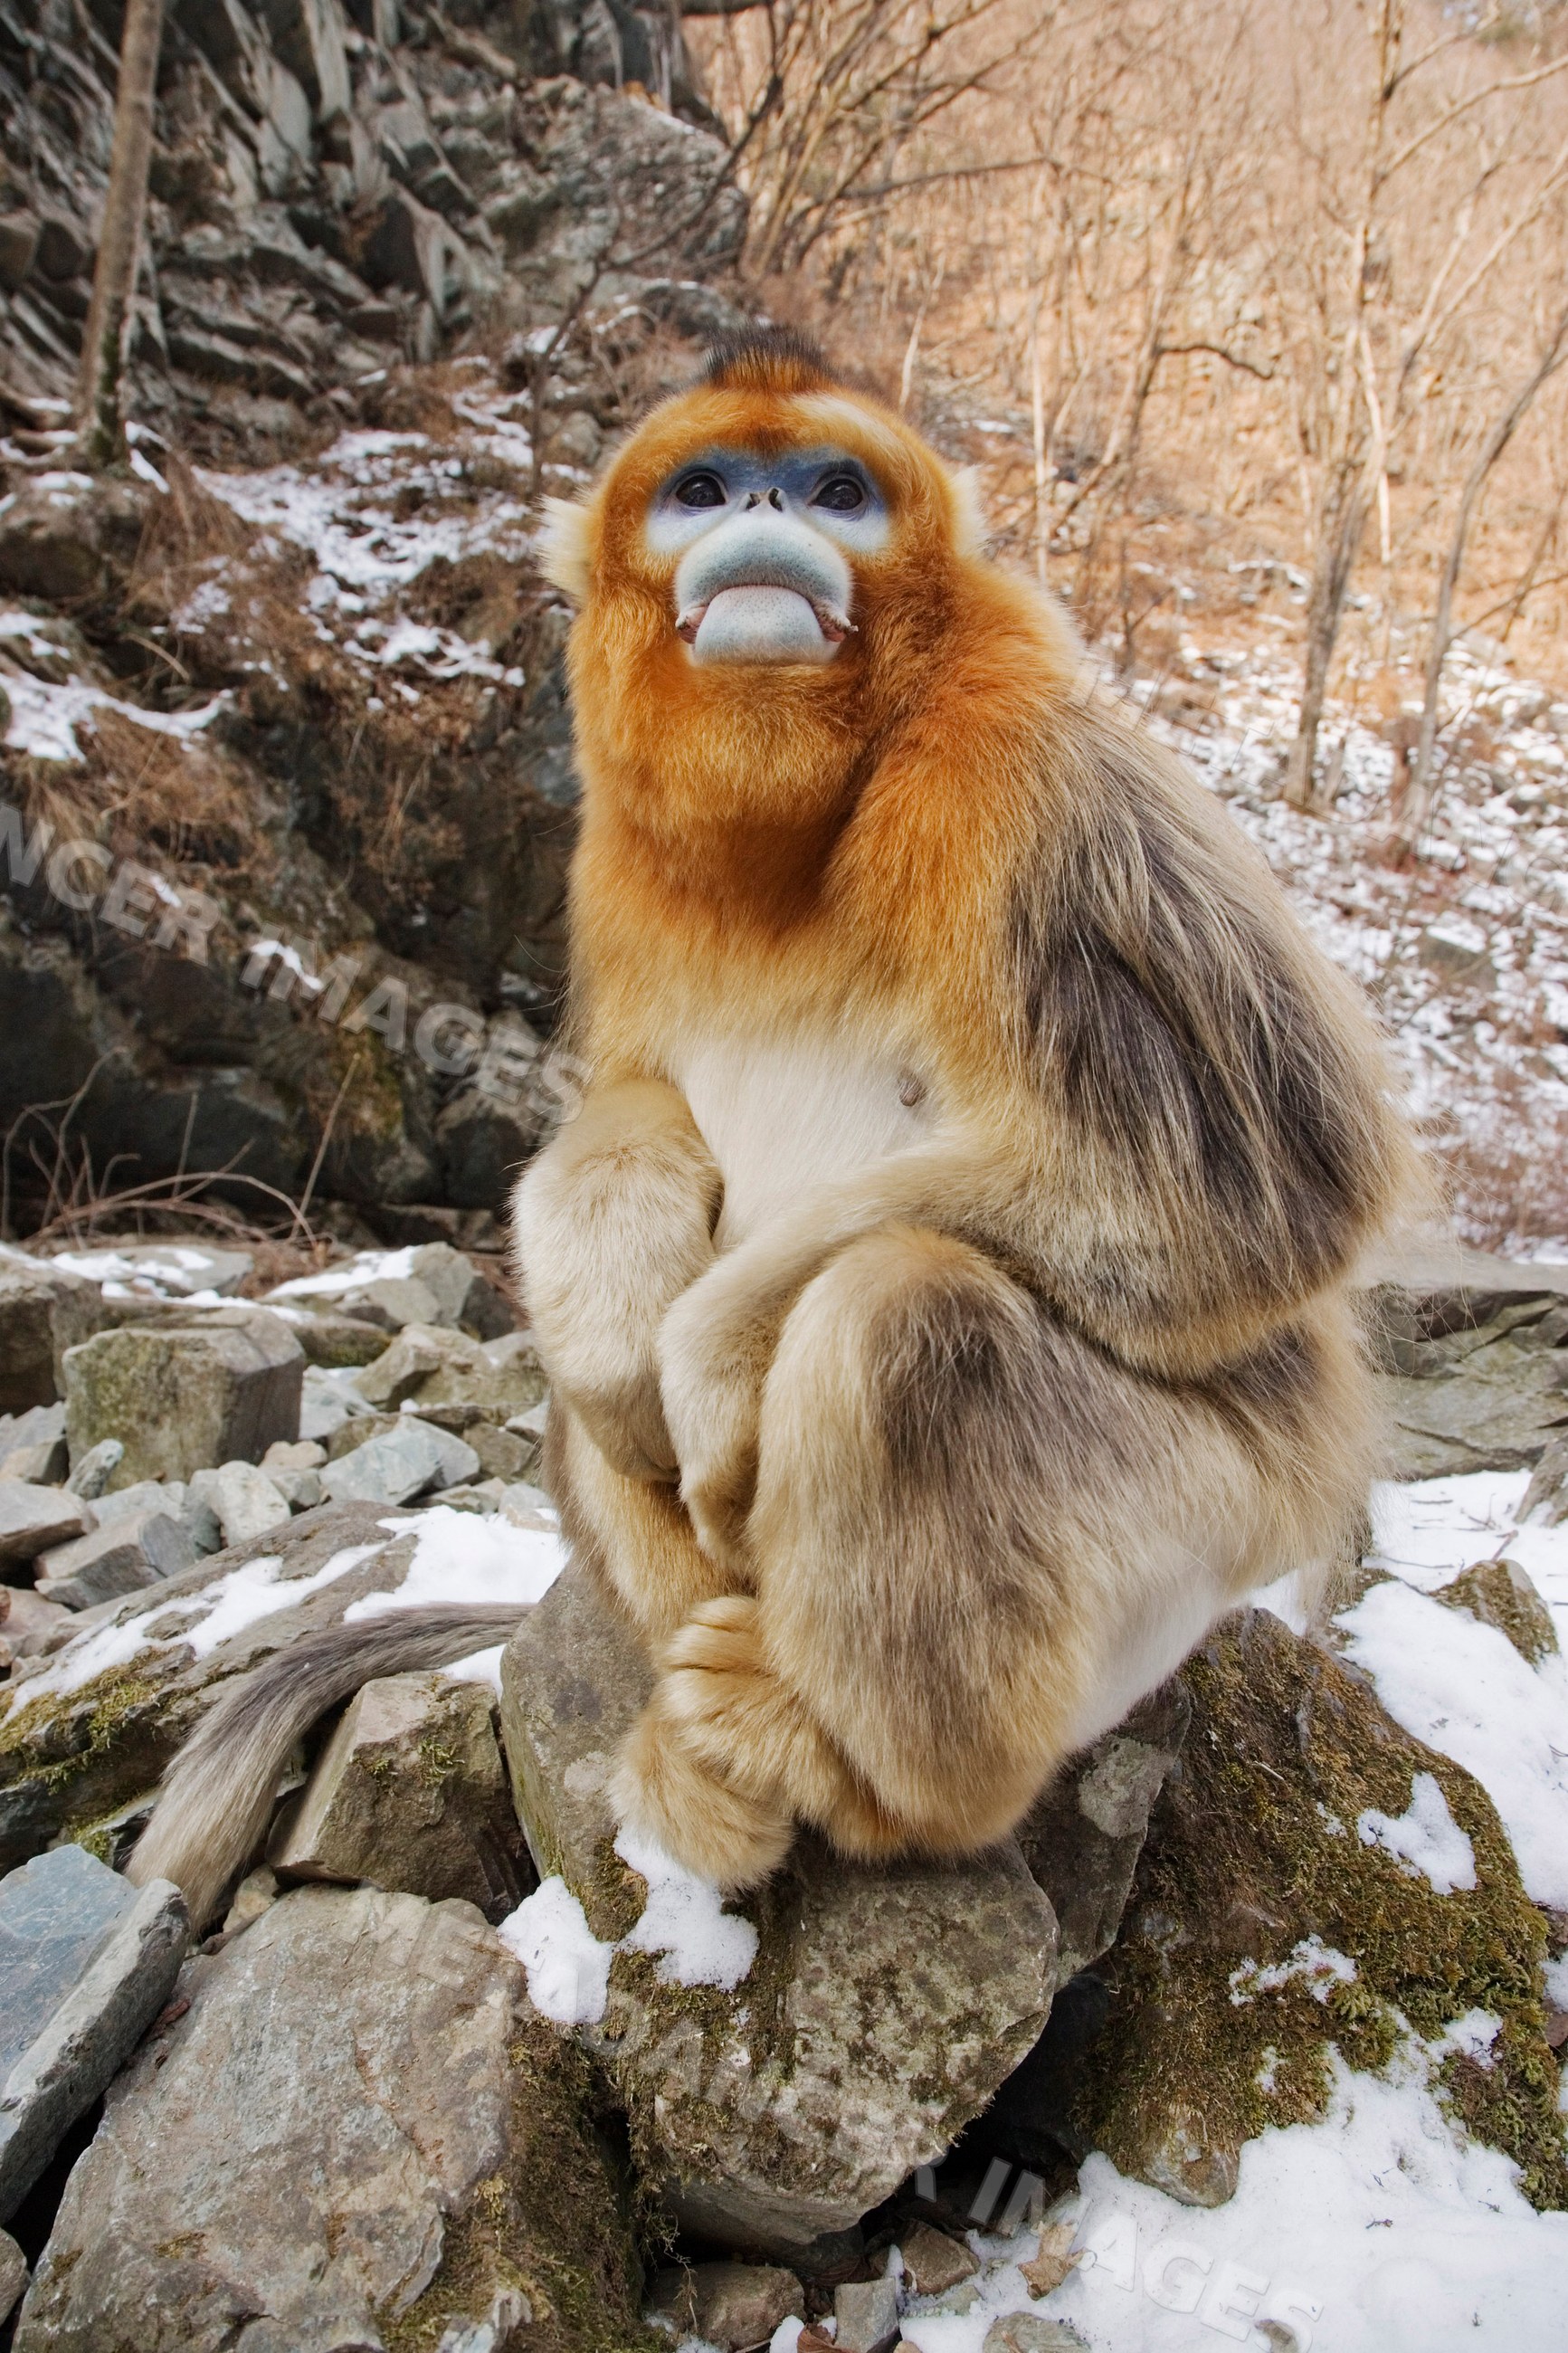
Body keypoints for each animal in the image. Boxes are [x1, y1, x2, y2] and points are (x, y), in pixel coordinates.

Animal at [128, 326, 1417, 1927]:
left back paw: (844, 1767)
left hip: (1214, 1533)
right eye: (703, 486)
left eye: (834, 489)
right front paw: (619, 1293)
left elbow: (1259, 1188)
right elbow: (627, 1109)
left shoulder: (1031, 779)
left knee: (904, 1320)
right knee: (599, 1390)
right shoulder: (613, 867)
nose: (764, 513)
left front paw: (710, 1357)